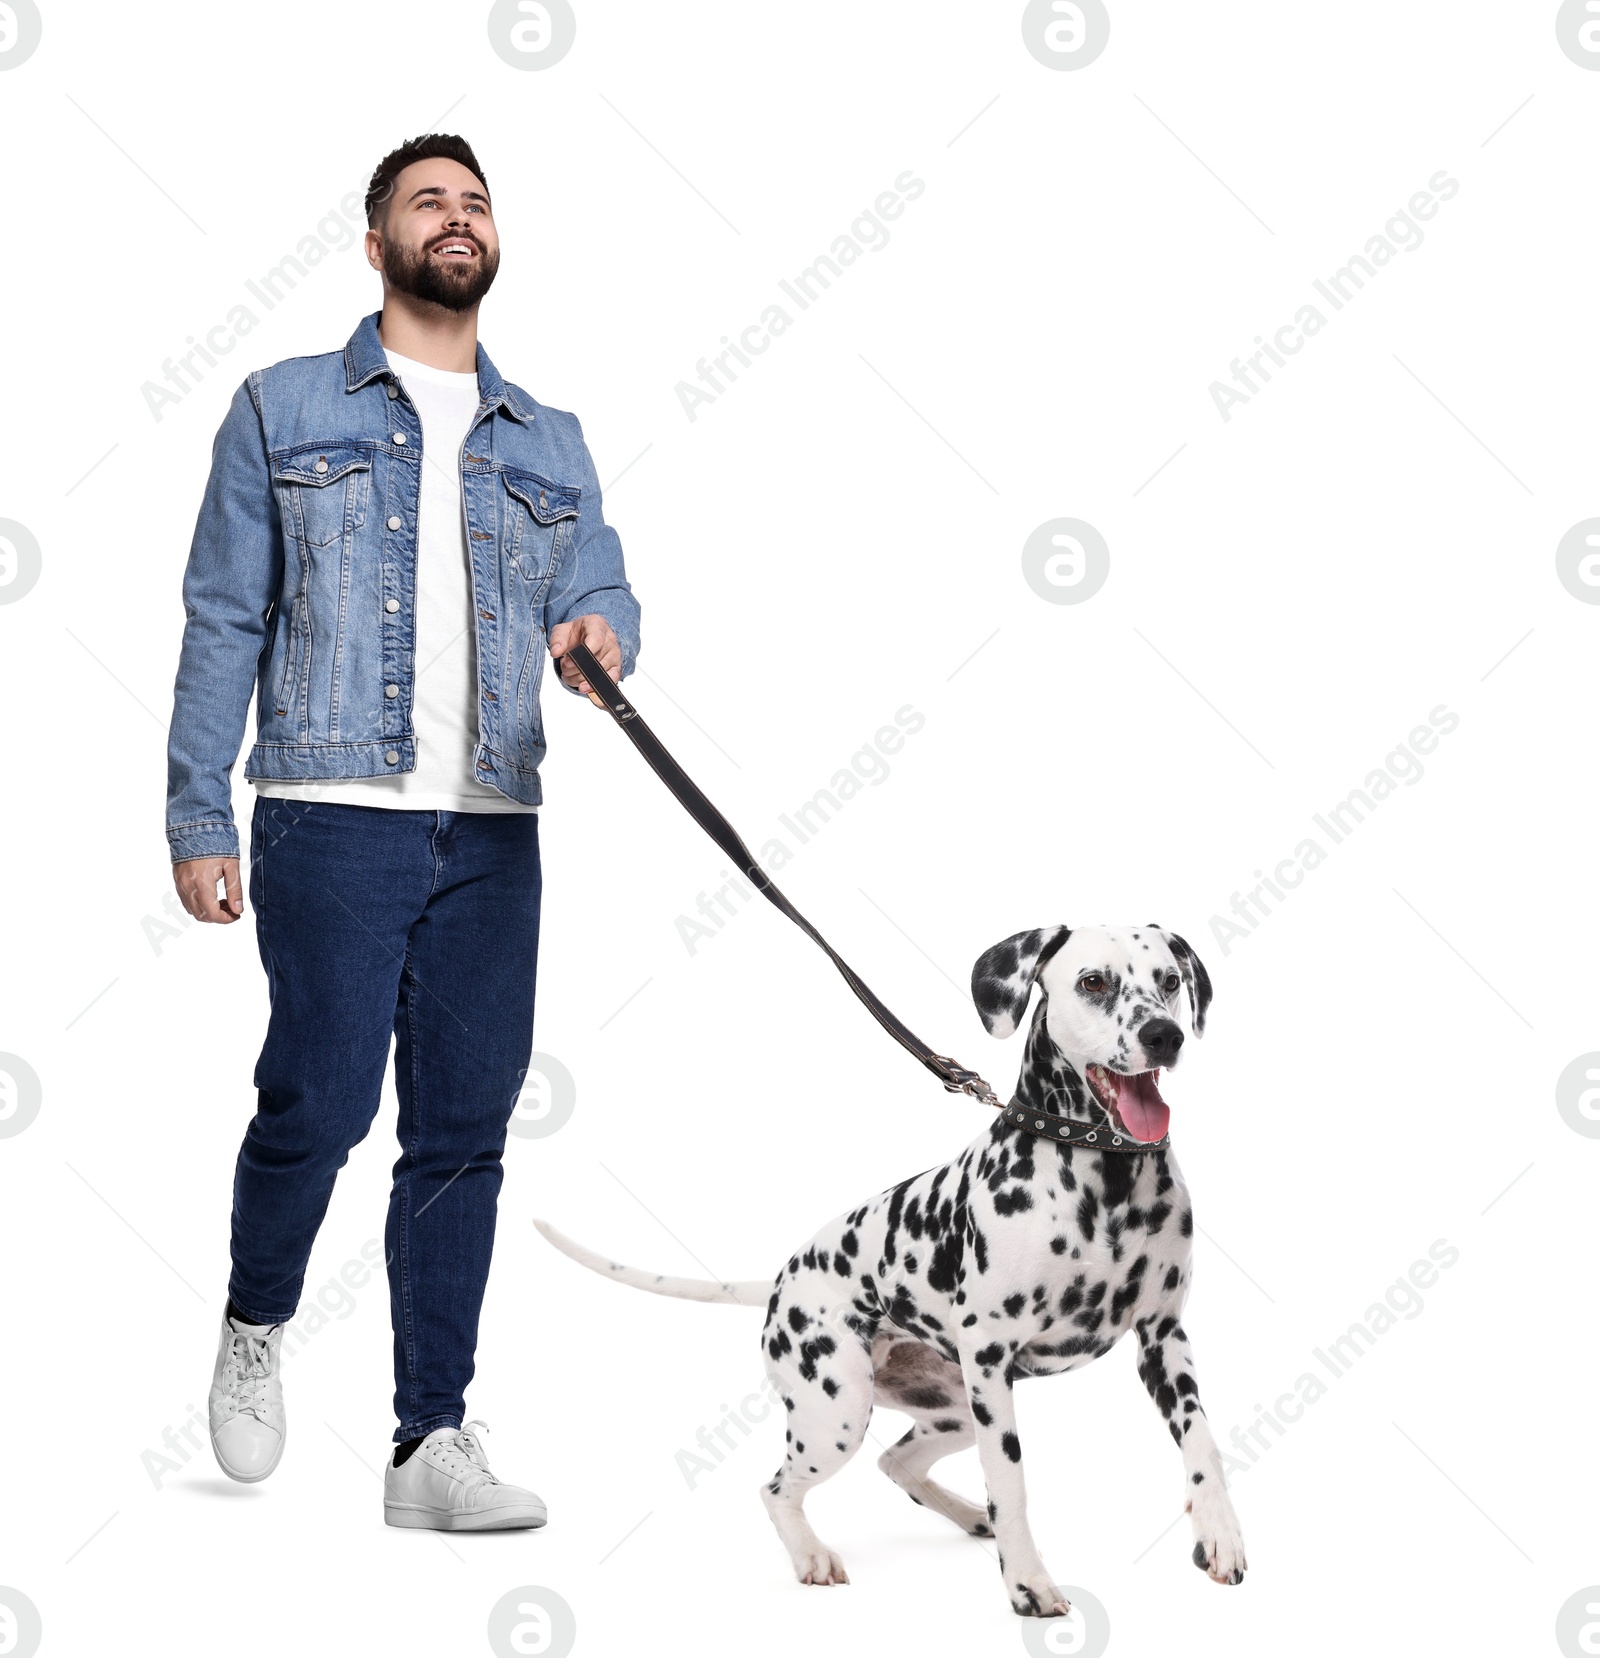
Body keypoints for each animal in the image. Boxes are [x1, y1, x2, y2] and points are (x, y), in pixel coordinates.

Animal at [537, 928, 1246, 1611]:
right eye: (1093, 982)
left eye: (1169, 981)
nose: (1164, 1035)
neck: (1105, 1180)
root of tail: (782, 1279)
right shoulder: (992, 1360)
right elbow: (1011, 1485)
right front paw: (1026, 1583)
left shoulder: (1163, 1340)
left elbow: (1202, 1443)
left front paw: (1218, 1532)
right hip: (841, 1413)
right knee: (776, 1488)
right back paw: (811, 1555)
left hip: (952, 1410)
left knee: (897, 1466)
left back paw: (965, 1515)